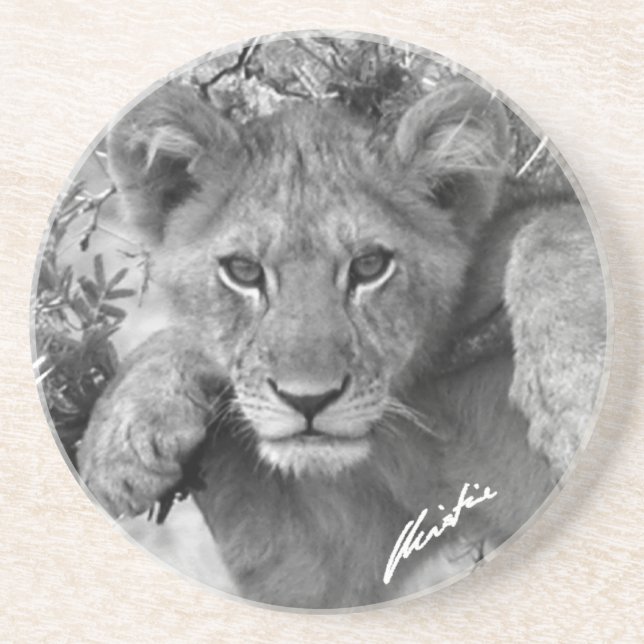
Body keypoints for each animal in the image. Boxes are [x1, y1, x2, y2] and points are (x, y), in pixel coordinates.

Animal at [75, 80, 606, 608]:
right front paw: (123, 434)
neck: (425, 409)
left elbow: (554, 226)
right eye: (243, 271)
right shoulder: (316, 558)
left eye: (370, 266)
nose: (308, 401)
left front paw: (573, 396)